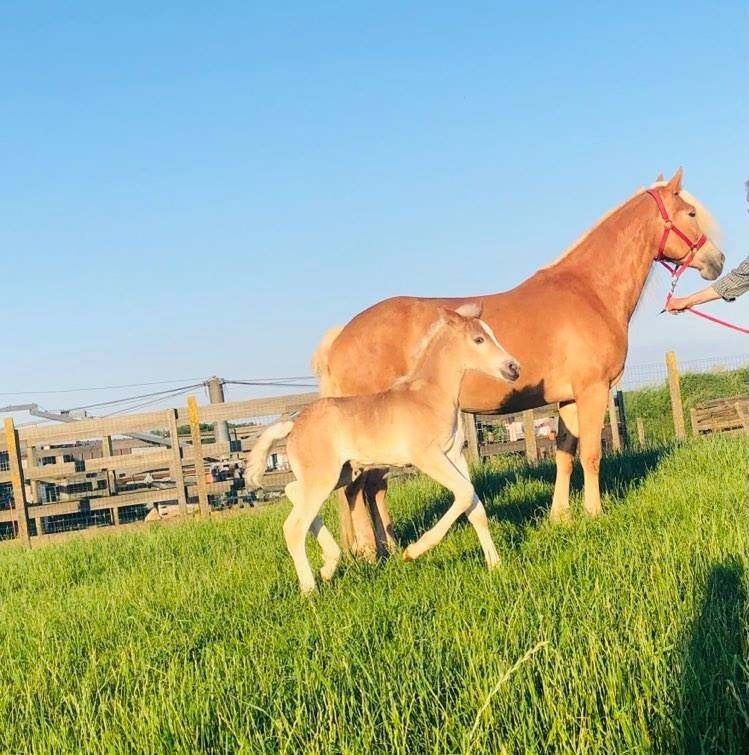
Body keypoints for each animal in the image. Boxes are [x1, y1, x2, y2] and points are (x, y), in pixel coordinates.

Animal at [246, 304, 520, 594]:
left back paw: (329, 564)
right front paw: (413, 551)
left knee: (293, 491)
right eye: (478, 339)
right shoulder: (428, 457)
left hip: (340, 474)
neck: (429, 397)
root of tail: (294, 425)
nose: (513, 367)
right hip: (324, 477)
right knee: (294, 526)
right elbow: (464, 493)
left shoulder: (455, 456)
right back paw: (310, 588)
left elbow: (475, 507)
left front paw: (495, 565)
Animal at [311, 169, 725, 558]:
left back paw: (387, 547)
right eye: (690, 212)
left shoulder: (568, 399)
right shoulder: (592, 390)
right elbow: (591, 453)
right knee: (361, 488)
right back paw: (374, 551)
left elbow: (565, 455)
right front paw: (594, 513)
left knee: (369, 488)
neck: (588, 291)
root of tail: (342, 336)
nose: (717, 261)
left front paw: (561, 516)